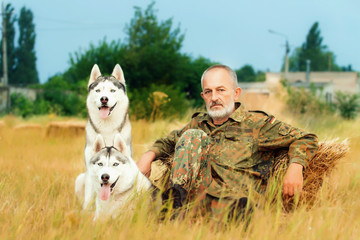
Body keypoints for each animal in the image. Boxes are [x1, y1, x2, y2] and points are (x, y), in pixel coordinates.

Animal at [77, 63, 132, 208]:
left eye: (112, 91)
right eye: (98, 91)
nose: (104, 99)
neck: (107, 129)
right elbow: (89, 198)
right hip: (79, 179)